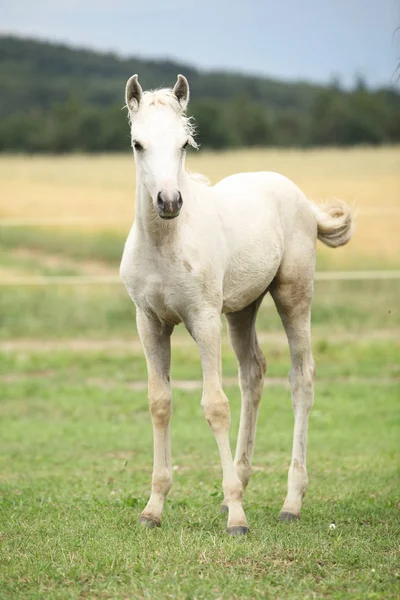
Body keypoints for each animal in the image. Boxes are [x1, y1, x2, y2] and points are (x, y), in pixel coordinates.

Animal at [119, 74, 354, 536]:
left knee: (301, 378)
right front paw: (154, 508)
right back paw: (241, 486)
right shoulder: (150, 322)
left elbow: (214, 405)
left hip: (293, 295)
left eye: (184, 143)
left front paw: (238, 520)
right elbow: (159, 402)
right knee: (253, 373)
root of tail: (302, 199)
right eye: (138, 143)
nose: (169, 201)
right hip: (243, 309)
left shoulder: (204, 319)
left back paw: (290, 501)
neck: (166, 244)